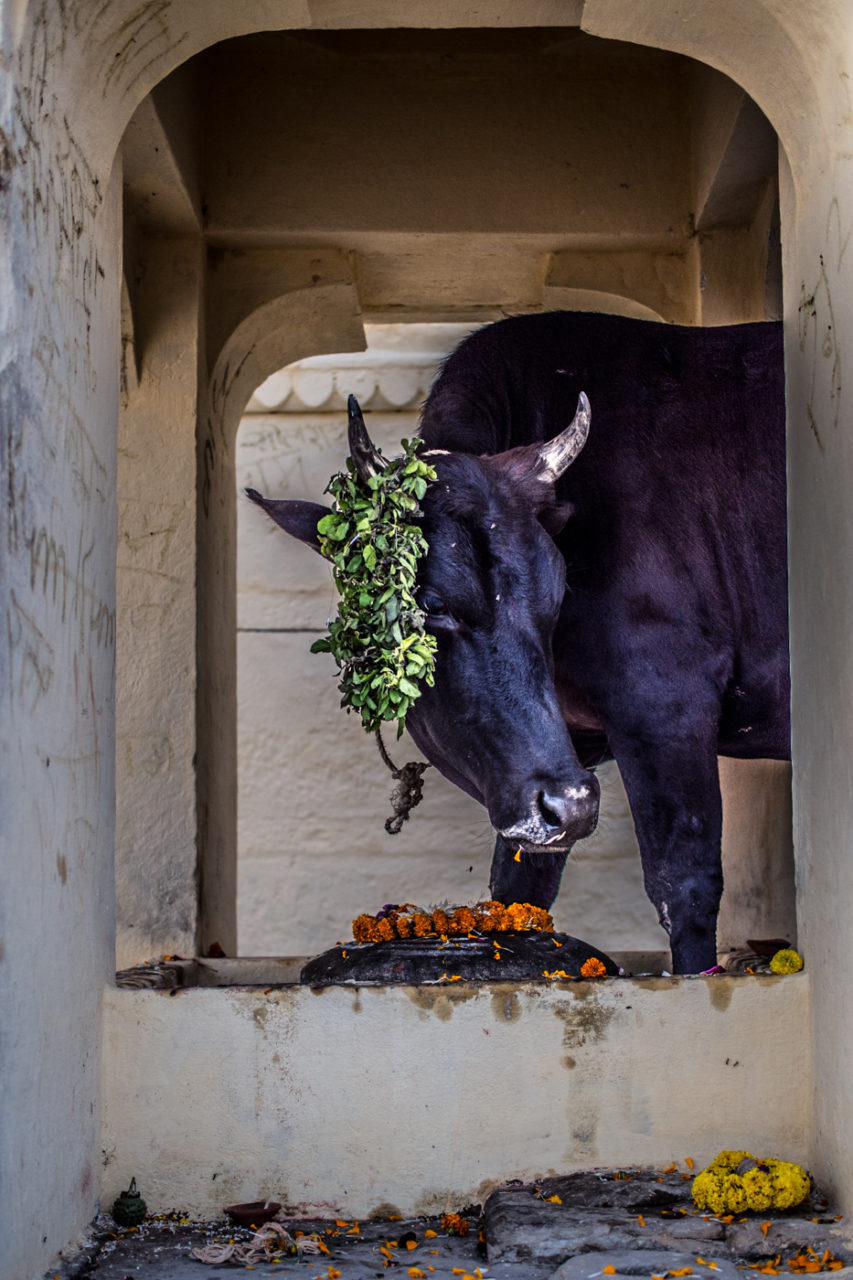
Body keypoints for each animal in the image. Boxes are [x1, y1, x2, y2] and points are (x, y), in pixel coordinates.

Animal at [249, 309, 788, 967]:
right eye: (431, 604)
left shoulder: (669, 701)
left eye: (557, 593)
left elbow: (683, 884)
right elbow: (519, 887)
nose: (574, 804)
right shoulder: (552, 764)